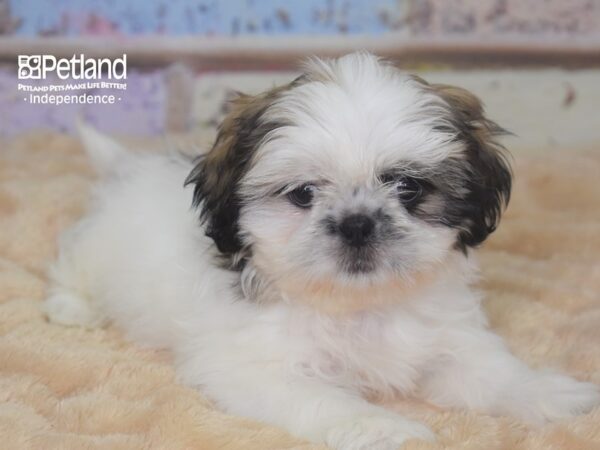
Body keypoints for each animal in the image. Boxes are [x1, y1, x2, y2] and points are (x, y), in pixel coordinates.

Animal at [43, 53, 600, 450]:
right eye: (303, 194)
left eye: (408, 187)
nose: (357, 224)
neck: (358, 306)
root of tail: (130, 170)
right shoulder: (255, 367)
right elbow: (327, 401)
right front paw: (384, 428)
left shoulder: (448, 341)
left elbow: (494, 374)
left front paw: (551, 394)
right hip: (96, 249)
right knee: (72, 262)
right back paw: (72, 306)